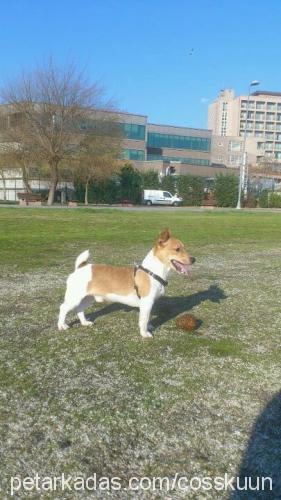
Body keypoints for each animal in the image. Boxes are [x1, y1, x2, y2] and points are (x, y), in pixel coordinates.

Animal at [57, 229, 195, 338]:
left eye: (184, 247)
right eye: (177, 249)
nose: (194, 259)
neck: (152, 272)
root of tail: (81, 267)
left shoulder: (148, 304)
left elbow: (147, 318)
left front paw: (149, 326)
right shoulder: (146, 302)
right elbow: (143, 320)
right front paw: (144, 333)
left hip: (89, 298)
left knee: (80, 309)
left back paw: (85, 323)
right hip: (74, 298)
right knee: (63, 308)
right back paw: (62, 325)